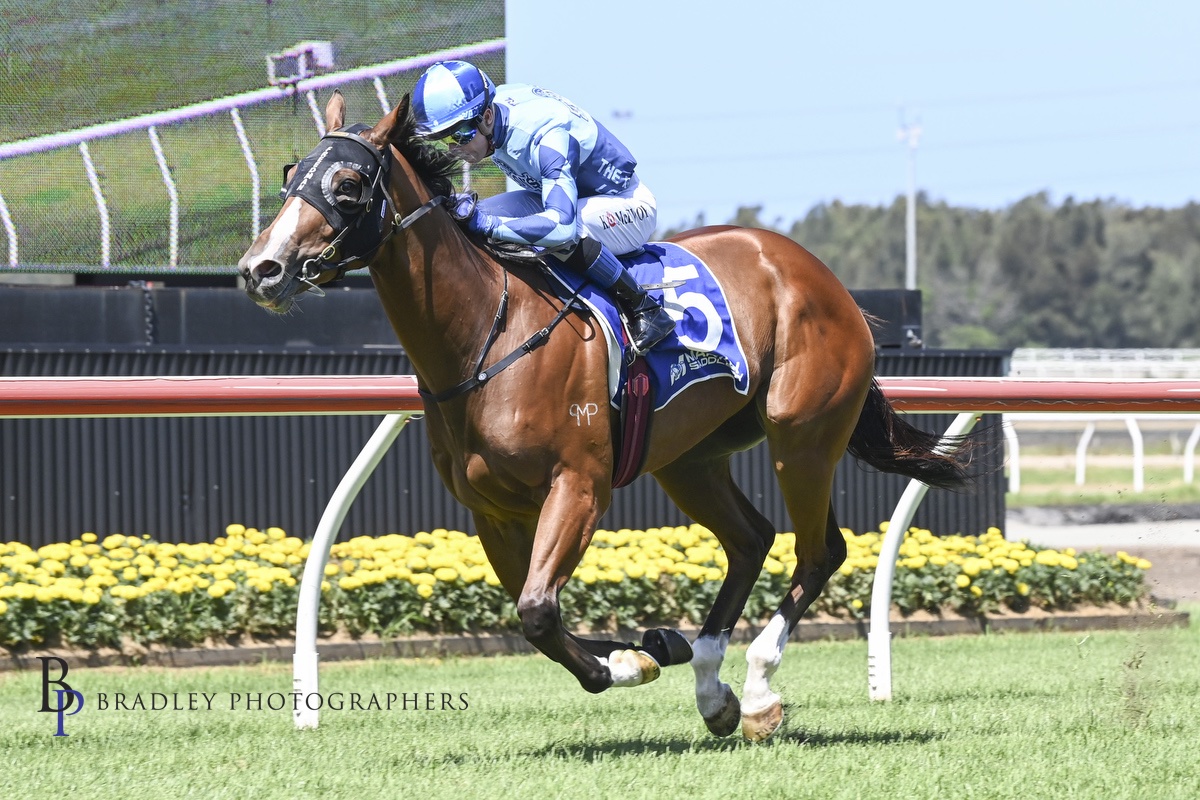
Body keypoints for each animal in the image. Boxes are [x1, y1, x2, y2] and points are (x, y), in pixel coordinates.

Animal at [238, 95, 969, 743]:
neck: (486, 336)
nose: (259, 269)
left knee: (819, 552)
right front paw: (648, 646)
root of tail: (821, 276)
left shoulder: (579, 485)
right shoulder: (492, 511)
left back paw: (759, 688)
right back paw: (711, 683)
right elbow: (536, 612)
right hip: (691, 458)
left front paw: (630, 660)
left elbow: (538, 611)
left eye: (348, 184)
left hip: (804, 435)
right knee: (751, 539)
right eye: (291, 173)